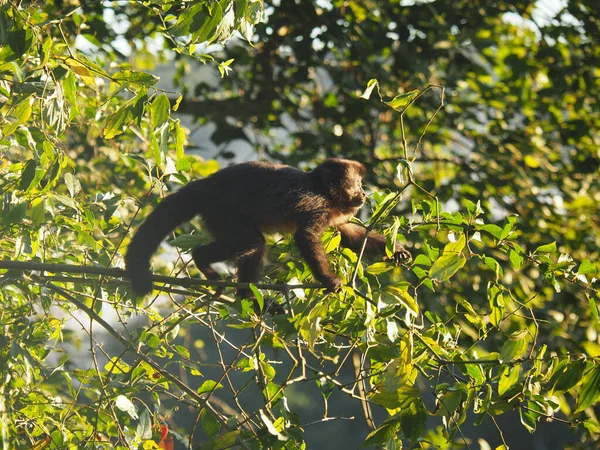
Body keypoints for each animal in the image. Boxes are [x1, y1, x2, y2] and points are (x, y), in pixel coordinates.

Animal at [124, 157, 410, 302]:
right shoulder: (317, 203)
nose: (364, 193)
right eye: (357, 184)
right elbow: (306, 236)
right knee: (252, 243)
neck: (324, 191)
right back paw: (208, 264)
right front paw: (330, 280)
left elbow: (348, 233)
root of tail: (206, 185)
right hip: (222, 210)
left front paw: (397, 250)